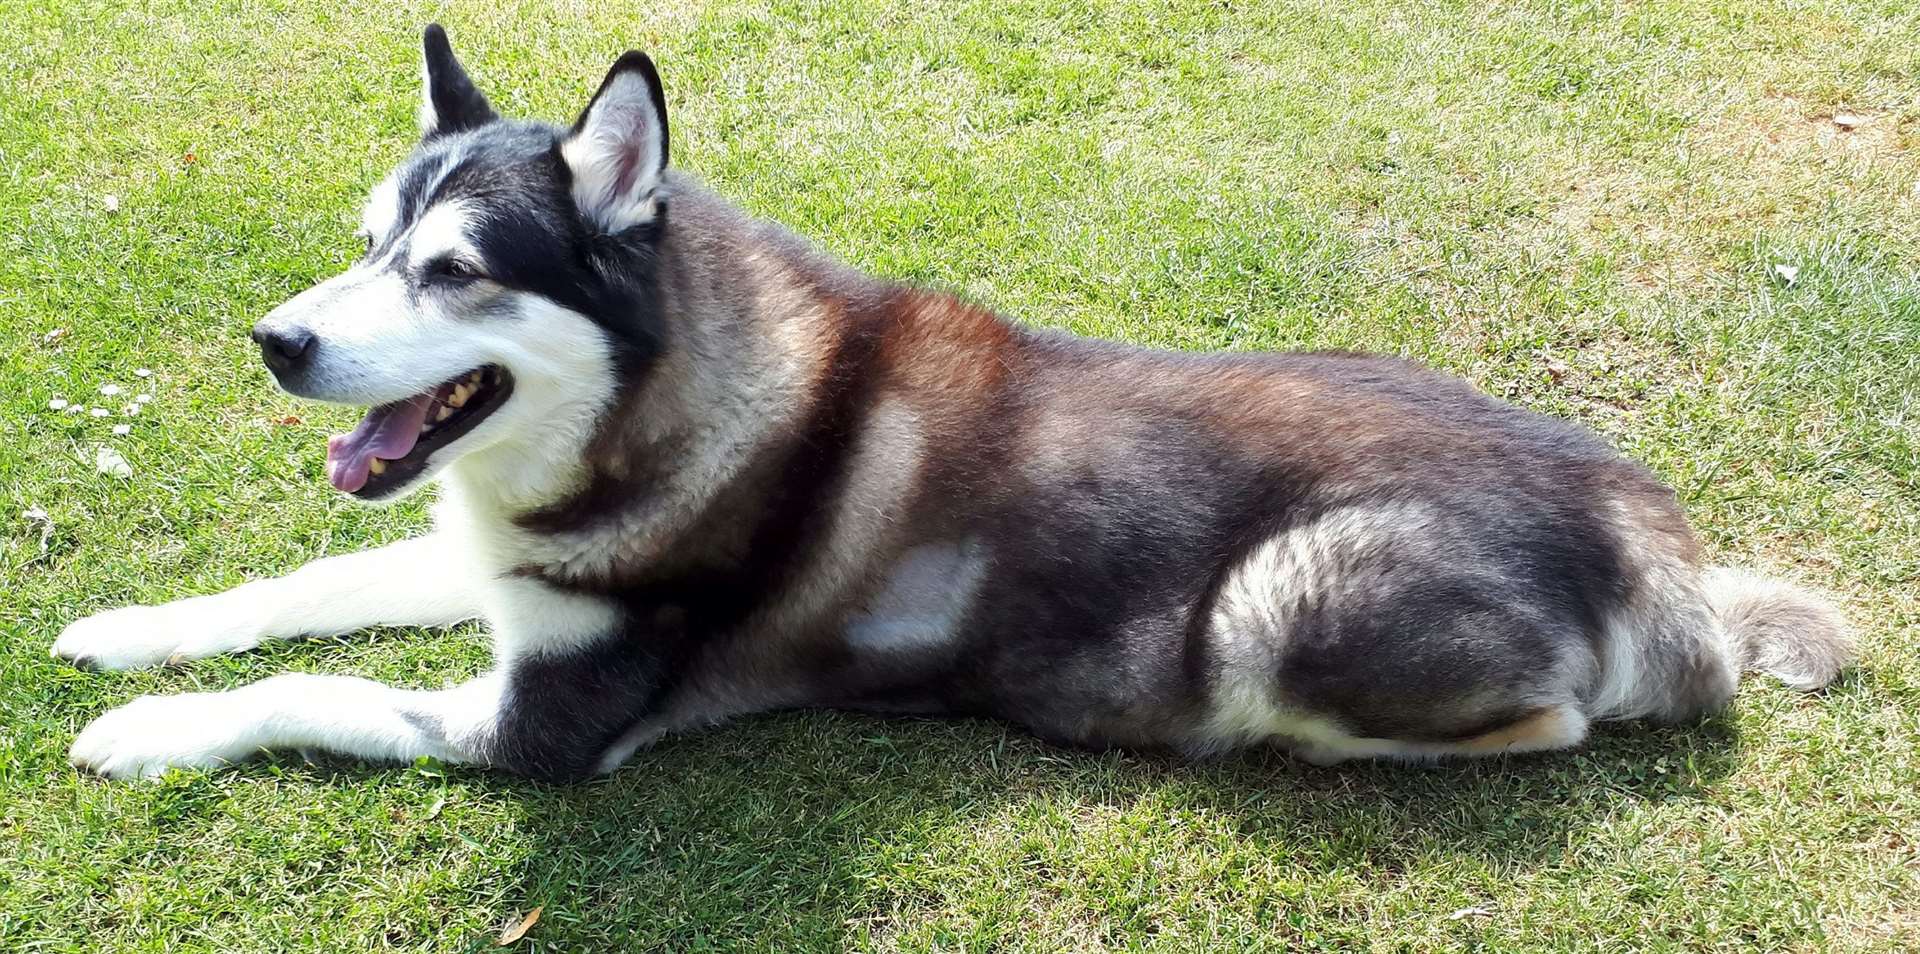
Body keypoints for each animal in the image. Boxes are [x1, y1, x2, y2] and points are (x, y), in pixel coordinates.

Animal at [52, 27, 1850, 779]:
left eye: (454, 270)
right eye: (368, 243)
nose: (277, 340)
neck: (658, 404)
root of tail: (1653, 535)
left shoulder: (553, 723)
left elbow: (322, 685)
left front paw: (154, 730)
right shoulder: (508, 561)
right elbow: (308, 584)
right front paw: (136, 630)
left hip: (1269, 609)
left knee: (1543, 723)